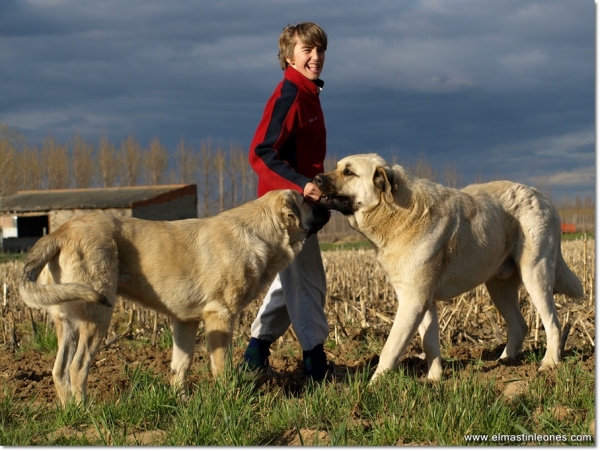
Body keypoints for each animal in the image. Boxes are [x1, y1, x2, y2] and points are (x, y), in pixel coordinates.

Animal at [18, 188, 328, 406]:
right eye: (307, 199)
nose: (325, 200)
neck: (260, 233)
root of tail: (58, 232)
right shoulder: (220, 315)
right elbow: (221, 366)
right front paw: (228, 399)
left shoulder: (185, 322)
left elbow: (180, 366)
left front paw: (181, 402)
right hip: (98, 317)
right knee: (77, 367)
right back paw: (85, 411)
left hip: (67, 321)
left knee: (59, 369)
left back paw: (68, 411)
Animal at [316, 154, 584, 384]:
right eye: (337, 167)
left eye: (348, 172)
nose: (316, 178)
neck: (398, 214)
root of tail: (542, 197)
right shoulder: (422, 301)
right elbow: (430, 343)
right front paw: (434, 380)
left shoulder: (412, 301)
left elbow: (390, 348)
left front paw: (373, 386)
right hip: (498, 286)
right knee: (520, 325)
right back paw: (505, 362)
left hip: (535, 273)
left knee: (553, 323)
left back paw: (549, 364)